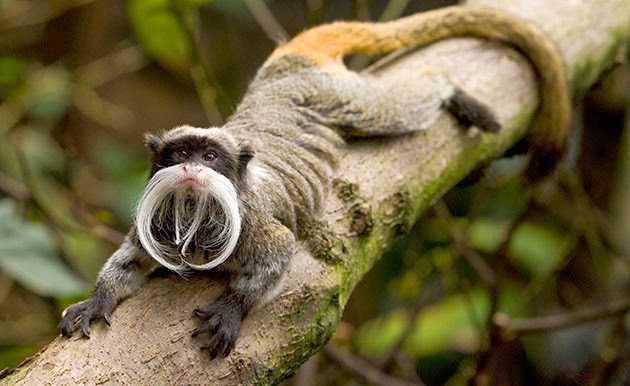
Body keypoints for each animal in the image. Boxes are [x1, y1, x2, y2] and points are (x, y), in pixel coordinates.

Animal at [59, 6, 572, 358]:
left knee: (398, 104)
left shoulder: (252, 227)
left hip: (335, 96)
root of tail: (287, 64)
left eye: (210, 157)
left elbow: (279, 252)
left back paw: (454, 92)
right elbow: (129, 261)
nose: (193, 170)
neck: (195, 218)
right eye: (180, 154)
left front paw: (232, 309)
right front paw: (97, 300)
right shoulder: (157, 223)